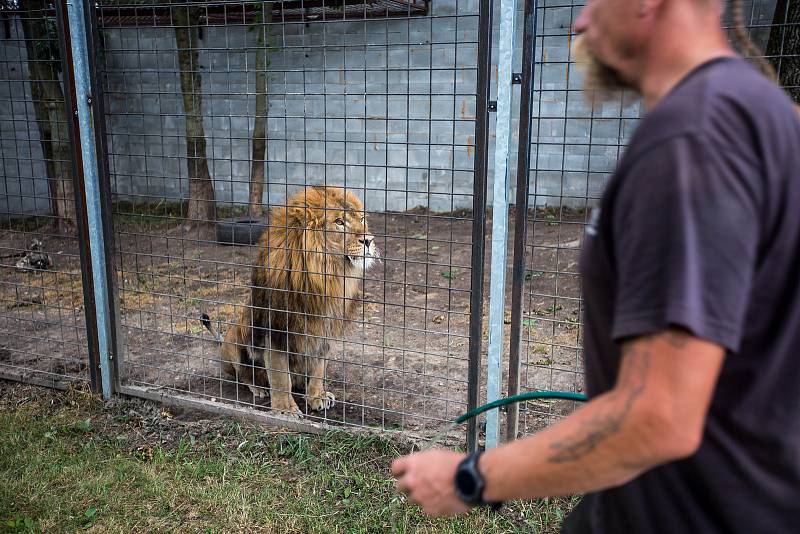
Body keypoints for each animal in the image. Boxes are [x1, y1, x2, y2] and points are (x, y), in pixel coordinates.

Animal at [198, 188, 376, 418]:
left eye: (362, 219)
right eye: (339, 222)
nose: (369, 240)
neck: (327, 278)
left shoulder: (325, 330)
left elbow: (319, 368)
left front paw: (316, 396)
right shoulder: (277, 330)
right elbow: (281, 375)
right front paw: (285, 410)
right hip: (236, 337)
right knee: (243, 374)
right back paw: (259, 387)